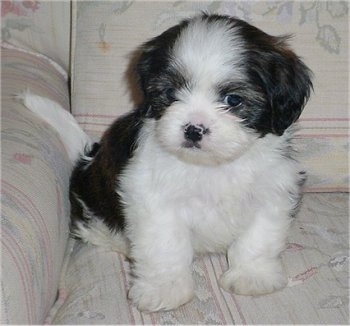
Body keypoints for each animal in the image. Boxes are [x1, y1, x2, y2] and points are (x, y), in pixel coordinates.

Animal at [23, 14, 314, 312]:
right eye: (171, 93)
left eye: (233, 100)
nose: (194, 129)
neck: (211, 165)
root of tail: (87, 159)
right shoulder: (152, 197)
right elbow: (165, 245)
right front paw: (165, 289)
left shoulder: (274, 189)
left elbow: (259, 236)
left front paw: (252, 275)